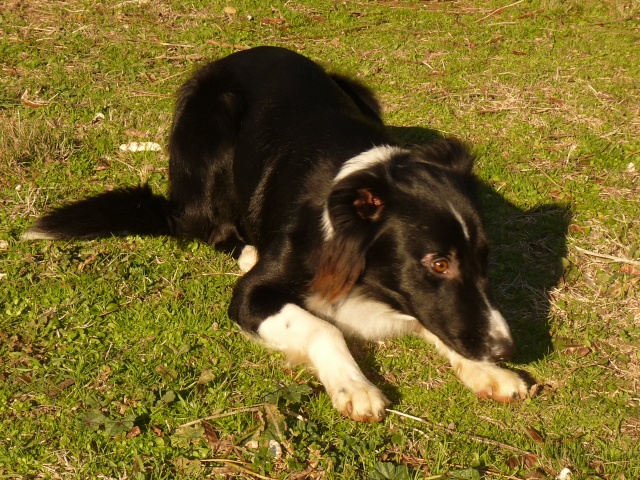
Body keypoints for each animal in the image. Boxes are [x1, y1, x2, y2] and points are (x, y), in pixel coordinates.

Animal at [22, 45, 528, 420]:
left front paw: (488, 372)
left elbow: (436, 318)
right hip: (213, 121)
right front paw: (354, 386)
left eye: (484, 260)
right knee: (204, 227)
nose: (506, 349)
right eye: (438, 263)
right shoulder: (251, 296)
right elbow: (324, 328)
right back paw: (242, 247)